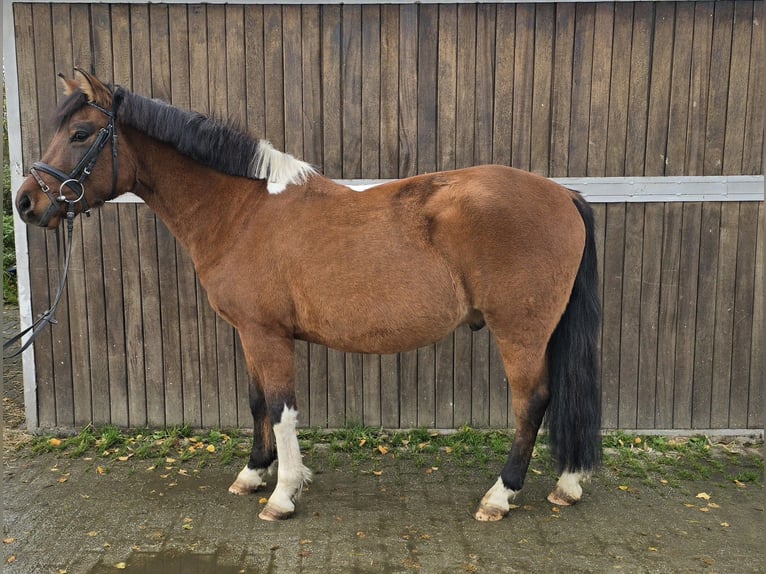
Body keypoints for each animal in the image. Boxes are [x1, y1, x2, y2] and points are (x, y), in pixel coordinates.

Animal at [15, 70, 604, 524]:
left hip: (520, 331)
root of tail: (562, 195)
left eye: (81, 132)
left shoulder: (266, 334)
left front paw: (282, 495)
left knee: (532, 402)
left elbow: (281, 408)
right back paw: (568, 485)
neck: (241, 210)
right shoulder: (250, 334)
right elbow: (258, 403)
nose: (24, 203)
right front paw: (253, 473)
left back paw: (500, 496)